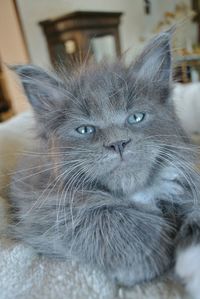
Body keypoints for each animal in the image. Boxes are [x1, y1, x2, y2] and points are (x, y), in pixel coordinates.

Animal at [8, 29, 200, 288]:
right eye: (85, 130)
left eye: (136, 117)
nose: (118, 143)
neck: (134, 192)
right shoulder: (39, 207)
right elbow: (106, 217)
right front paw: (154, 252)